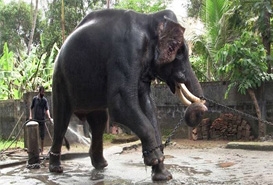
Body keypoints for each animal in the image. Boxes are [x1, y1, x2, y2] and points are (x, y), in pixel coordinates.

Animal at [49, 8, 206, 181]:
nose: (201, 107)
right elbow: (120, 104)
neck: (149, 21)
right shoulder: (126, 52)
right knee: (61, 119)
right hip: (60, 79)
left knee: (99, 121)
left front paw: (164, 176)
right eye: (177, 52)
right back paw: (56, 168)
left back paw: (101, 165)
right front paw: (155, 159)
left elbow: (149, 107)